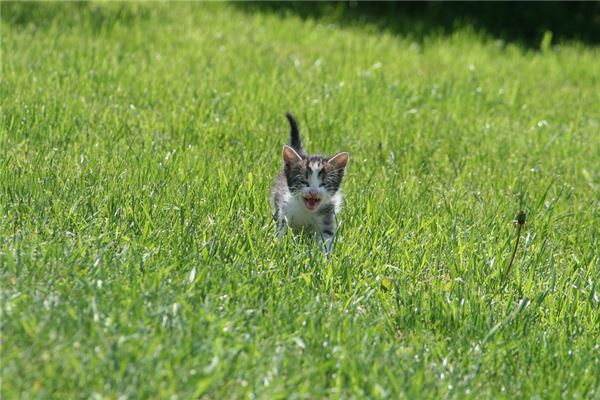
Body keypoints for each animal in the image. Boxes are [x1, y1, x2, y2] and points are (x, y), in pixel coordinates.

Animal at [270, 113, 350, 253]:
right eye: (304, 182)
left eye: (324, 184)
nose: (313, 191)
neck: (307, 211)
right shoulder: (285, 212)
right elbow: (281, 230)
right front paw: (277, 248)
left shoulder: (327, 218)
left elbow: (326, 239)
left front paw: (324, 256)